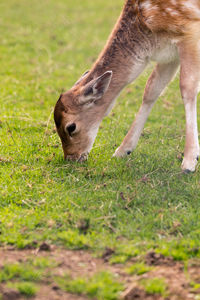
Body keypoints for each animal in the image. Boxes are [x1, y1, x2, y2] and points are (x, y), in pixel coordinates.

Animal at [54, 0, 200, 172]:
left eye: (71, 127)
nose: (71, 158)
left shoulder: (189, 32)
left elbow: (187, 87)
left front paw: (189, 162)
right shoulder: (169, 54)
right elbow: (151, 89)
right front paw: (123, 150)